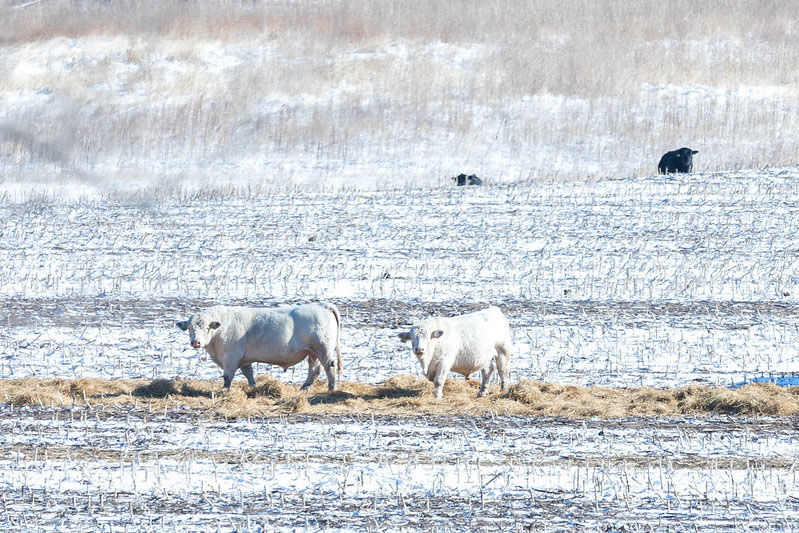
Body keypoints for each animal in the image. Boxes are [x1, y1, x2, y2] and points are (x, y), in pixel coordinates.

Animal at [176, 302, 342, 391]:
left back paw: (331, 388)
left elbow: (228, 376)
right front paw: (253, 388)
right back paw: (304, 387)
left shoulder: (230, 358)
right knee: (314, 370)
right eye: (189, 328)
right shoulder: (245, 359)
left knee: (329, 367)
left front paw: (224, 390)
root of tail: (322, 305)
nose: (195, 342)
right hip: (313, 352)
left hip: (323, 348)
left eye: (206, 327)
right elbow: (249, 374)